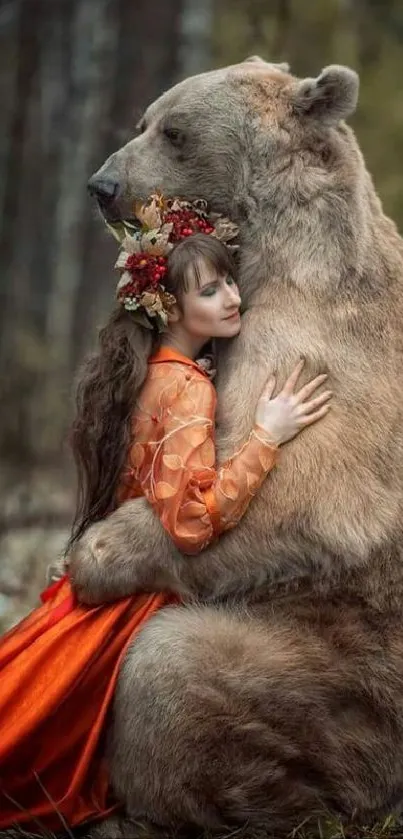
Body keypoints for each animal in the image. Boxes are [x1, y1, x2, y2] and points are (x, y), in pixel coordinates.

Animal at [69, 60, 403, 839]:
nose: (102, 184)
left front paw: (92, 555)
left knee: (170, 667)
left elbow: (292, 497)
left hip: (346, 670)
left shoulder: (314, 350)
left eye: (175, 130)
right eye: (143, 119)